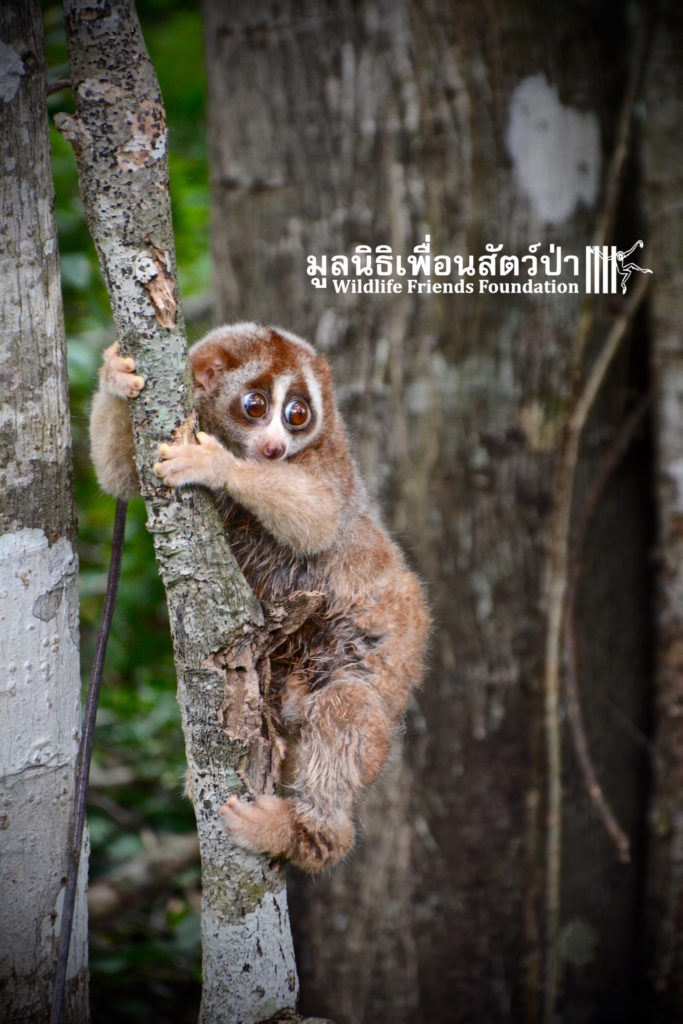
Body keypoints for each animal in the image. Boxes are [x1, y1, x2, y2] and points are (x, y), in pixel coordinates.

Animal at [90, 323, 430, 872]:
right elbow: (119, 476)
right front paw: (117, 374)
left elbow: (319, 518)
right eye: (255, 405)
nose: (274, 446)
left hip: (390, 656)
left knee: (347, 702)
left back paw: (304, 834)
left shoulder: (328, 461)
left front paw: (213, 464)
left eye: (298, 414)